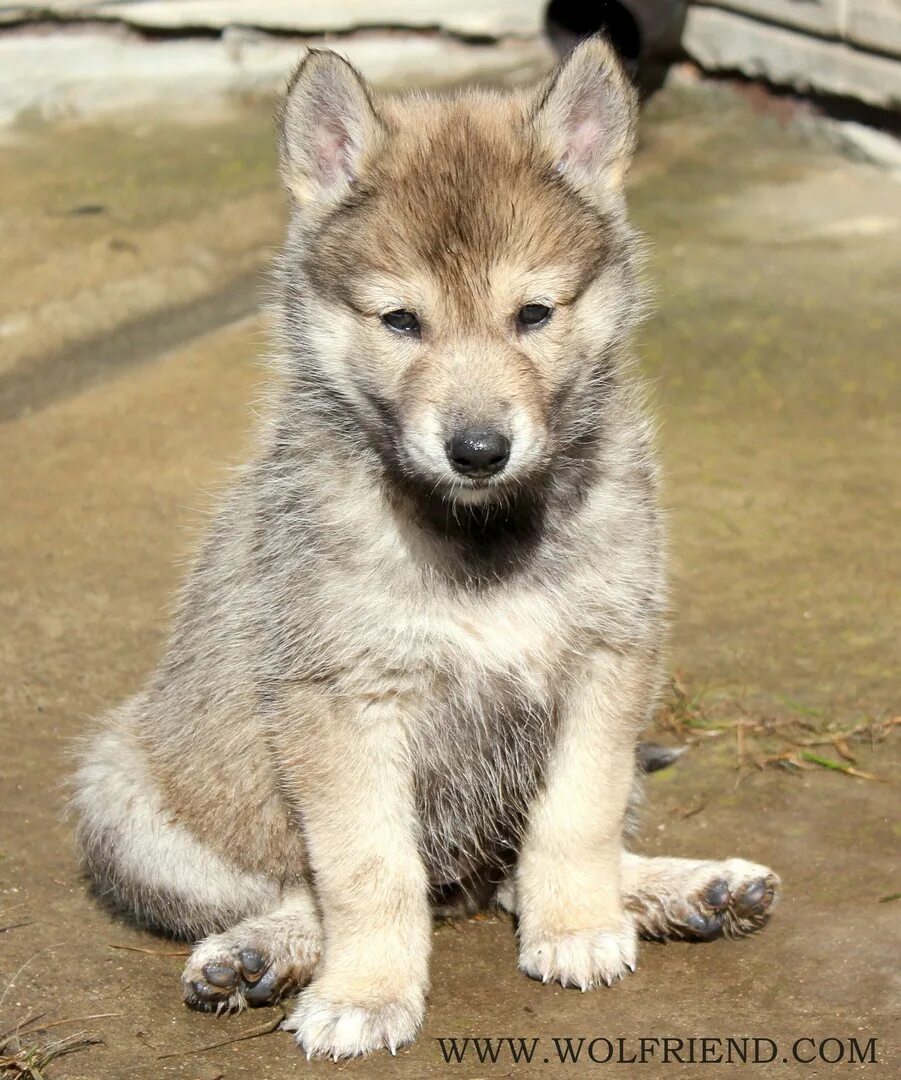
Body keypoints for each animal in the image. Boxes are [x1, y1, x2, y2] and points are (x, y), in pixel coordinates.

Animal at [70, 39, 777, 1054]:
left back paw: (689, 890)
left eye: (534, 314)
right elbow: (366, 870)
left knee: (536, 864)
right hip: (119, 792)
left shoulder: (608, 662)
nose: (478, 450)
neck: (476, 537)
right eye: (401, 321)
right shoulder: (341, 700)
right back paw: (256, 955)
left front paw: (577, 926)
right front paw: (366, 992)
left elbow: (577, 820)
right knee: (284, 893)